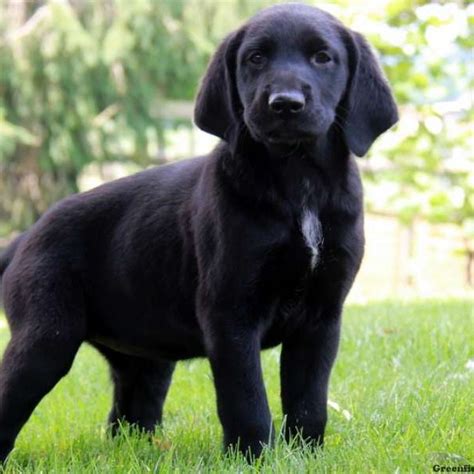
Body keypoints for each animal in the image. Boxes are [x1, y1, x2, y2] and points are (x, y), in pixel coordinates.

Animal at [0, 3, 396, 462]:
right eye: (255, 59)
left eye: (322, 58)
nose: (284, 104)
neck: (299, 182)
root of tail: (25, 237)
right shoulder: (230, 313)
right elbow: (246, 399)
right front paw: (252, 457)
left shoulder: (322, 315)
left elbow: (309, 399)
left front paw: (305, 455)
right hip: (46, 339)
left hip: (144, 360)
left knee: (128, 417)